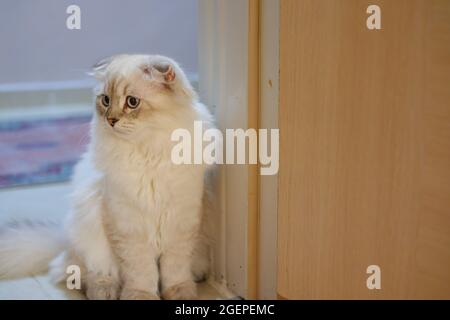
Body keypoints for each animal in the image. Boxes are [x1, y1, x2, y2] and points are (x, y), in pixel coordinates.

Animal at [0, 54, 214, 300]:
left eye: (132, 102)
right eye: (105, 100)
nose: (111, 120)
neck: (148, 153)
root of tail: (63, 241)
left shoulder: (182, 222)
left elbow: (175, 269)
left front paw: (180, 293)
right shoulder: (127, 226)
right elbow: (141, 271)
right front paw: (140, 296)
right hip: (88, 233)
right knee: (84, 274)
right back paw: (104, 291)